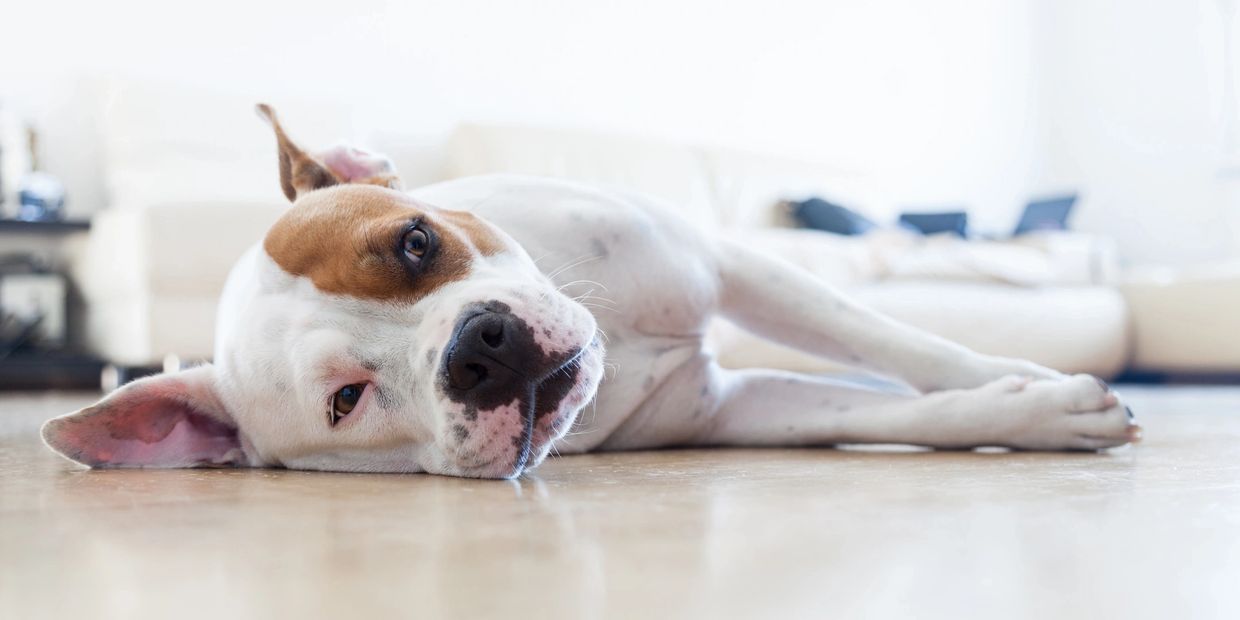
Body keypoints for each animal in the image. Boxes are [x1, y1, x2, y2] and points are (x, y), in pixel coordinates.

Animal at [41, 105, 1140, 478]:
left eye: (414, 242)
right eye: (345, 400)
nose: (478, 347)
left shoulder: (731, 264)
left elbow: (905, 349)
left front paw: (1017, 380)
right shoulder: (736, 411)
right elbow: (901, 412)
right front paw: (1035, 411)